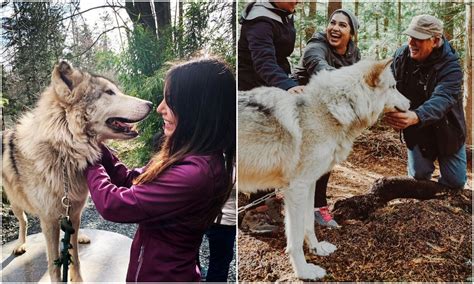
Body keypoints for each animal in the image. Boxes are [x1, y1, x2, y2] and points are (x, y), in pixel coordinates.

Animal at [1, 60, 153, 282]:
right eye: (109, 92)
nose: (151, 103)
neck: (62, 153)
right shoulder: (49, 220)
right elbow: (55, 264)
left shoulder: (73, 212)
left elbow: (74, 257)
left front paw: (77, 278)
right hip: (15, 202)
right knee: (24, 221)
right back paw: (21, 244)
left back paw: (80, 236)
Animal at [239, 58, 410, 280]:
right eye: (394, 87)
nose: (410, 103)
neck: (329, 110)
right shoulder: (296, 188)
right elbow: (295, 239)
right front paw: (304, 272)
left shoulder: (309, 184)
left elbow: (309, 223)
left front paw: (317, 249)